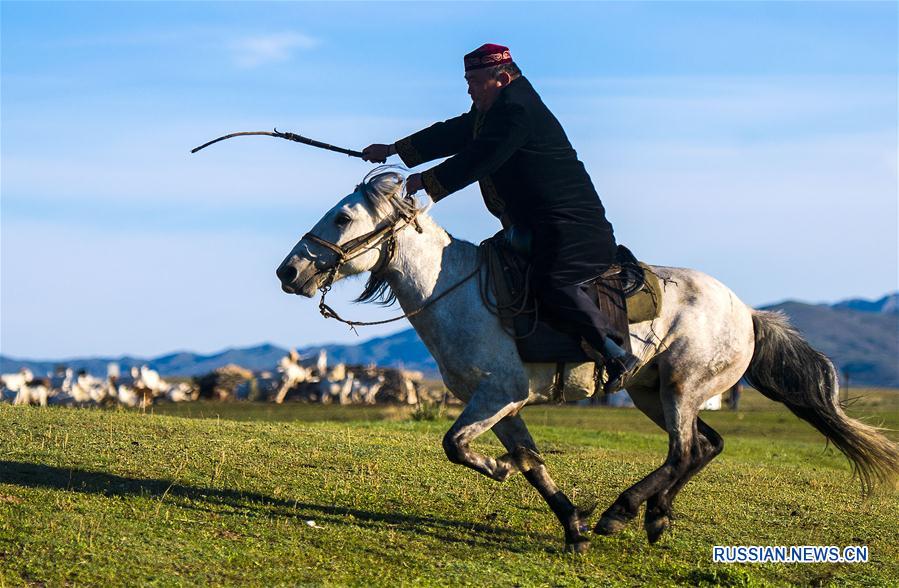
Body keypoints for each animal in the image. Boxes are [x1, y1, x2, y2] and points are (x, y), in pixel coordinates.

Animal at [276, 170, 899, 552]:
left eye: (342, 218)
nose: (289, 271)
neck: (456, 289)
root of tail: (746, 312)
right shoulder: (502, 403)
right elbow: (531, 462)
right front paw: (571, 525)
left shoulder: (498, 394)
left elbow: (456, 445)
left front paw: (503, 474)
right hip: (652, 391)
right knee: (705, 446)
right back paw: (654, 516)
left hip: (681, 387)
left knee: (683, 450)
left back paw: (622, 512)